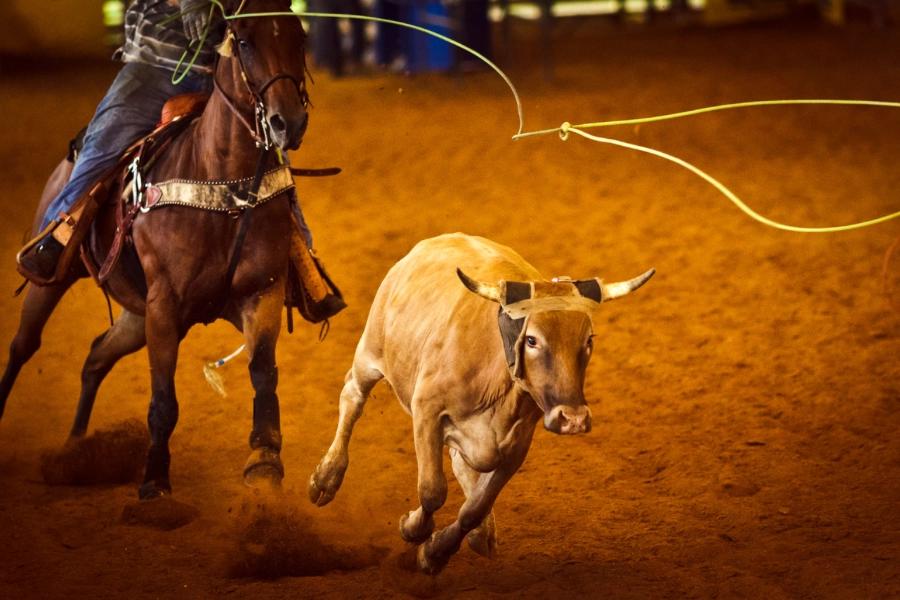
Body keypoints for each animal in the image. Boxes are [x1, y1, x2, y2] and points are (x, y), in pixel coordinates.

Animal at [0, 0, 312, 496]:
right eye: (245, 40)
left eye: (300, 37)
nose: (290, 122)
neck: (224, 186)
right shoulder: (165, 307)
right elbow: (163, 400)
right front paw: (154, 483)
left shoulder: (261, 293)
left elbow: (264, 376)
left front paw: (265, 464)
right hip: (52, 280)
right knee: (22, 346)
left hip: (135, 312)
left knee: (96, 356)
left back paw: (74, 452)